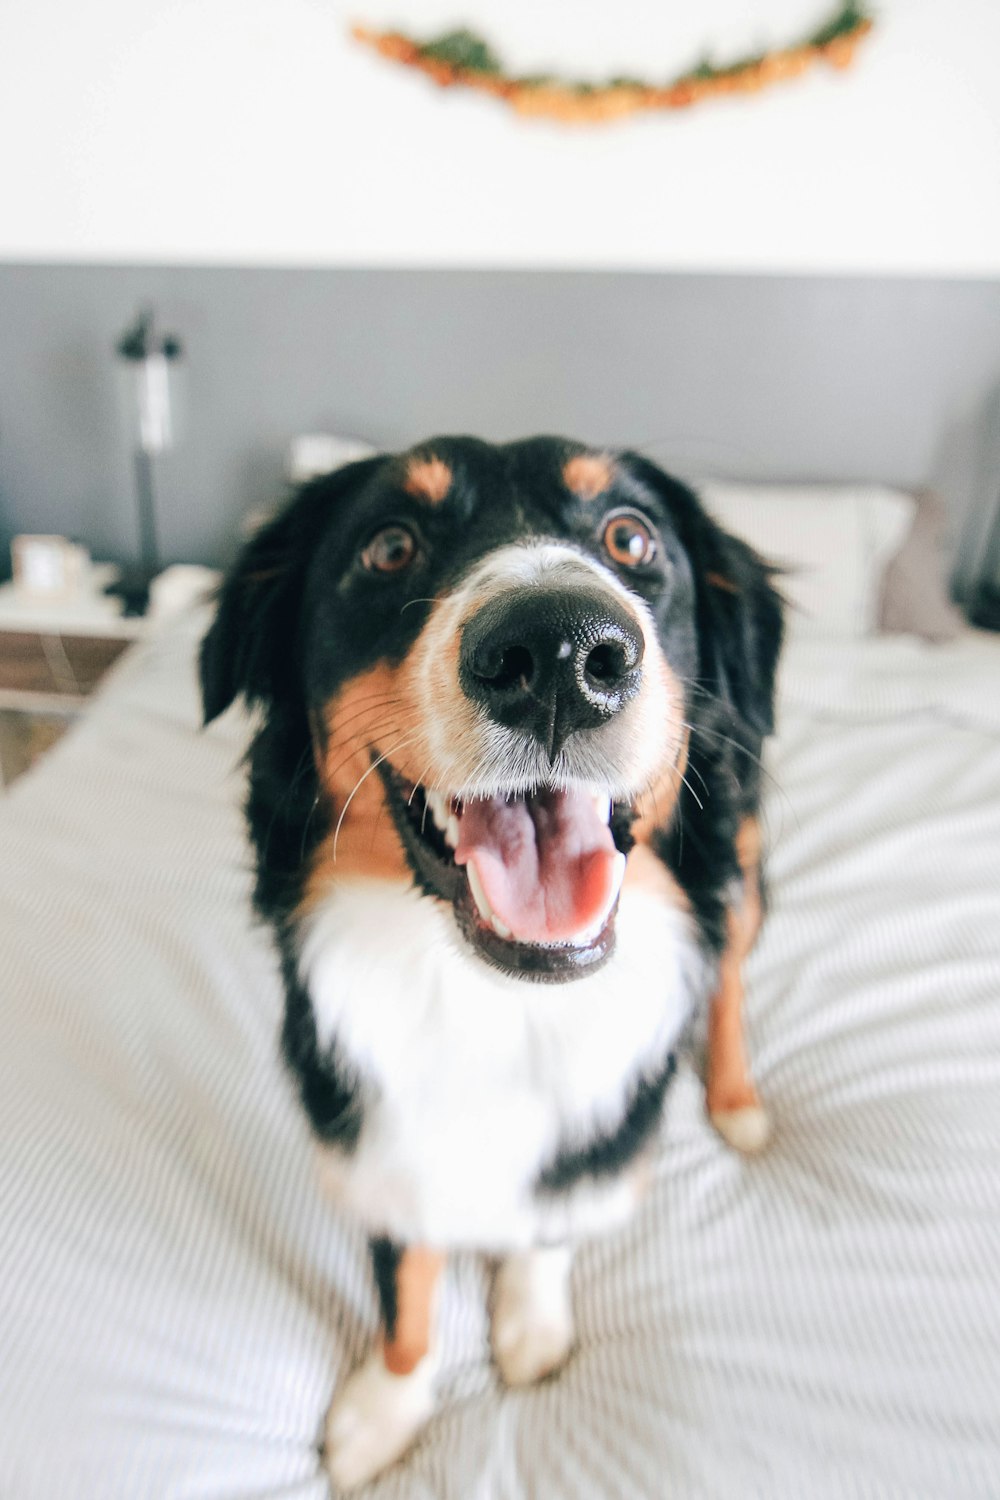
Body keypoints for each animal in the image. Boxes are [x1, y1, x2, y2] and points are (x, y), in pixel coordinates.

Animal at [199, 435, 785, 1488]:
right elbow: (405, 1284)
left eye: (630, 538)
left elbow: (547, 1219)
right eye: (389, 546)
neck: (490, 999)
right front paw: (387, 1408)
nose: (559, 653)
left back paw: (737, 1102)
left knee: (728, 971)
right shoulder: (374, 1136)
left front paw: (529, 1322)